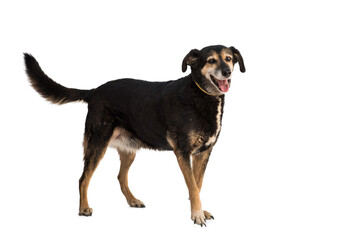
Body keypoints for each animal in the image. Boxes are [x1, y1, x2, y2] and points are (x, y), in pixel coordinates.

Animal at [23, 45, 246, 227]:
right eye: (211, 60)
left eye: (228, 58)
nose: (227, 72)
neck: (200, 94)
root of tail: (94, 91)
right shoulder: (182, 152)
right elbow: (192, 185)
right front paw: (197, 215)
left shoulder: (203, 153)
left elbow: (197, 185)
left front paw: (198, 211)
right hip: (97, 144)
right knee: (83, 178)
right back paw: (84, 208)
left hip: (128, 150)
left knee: (121, 176)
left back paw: (132, 200)